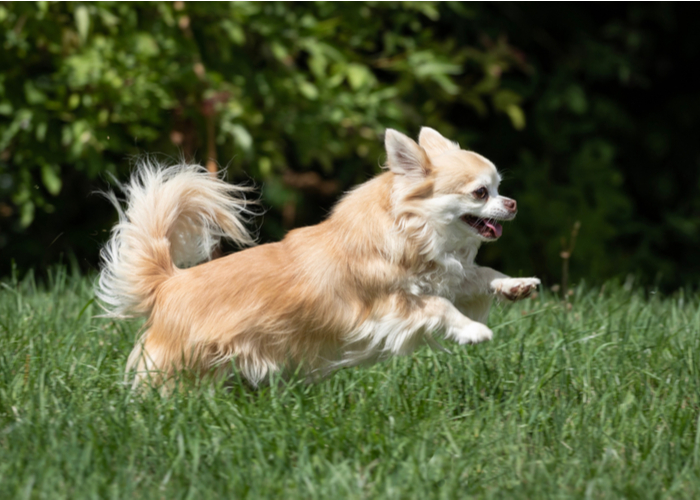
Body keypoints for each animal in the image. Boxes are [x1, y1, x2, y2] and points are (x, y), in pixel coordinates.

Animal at [97, 128, 536, 386]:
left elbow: (479, 274)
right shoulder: (389, 307)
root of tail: (169, 282)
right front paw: (474, 331)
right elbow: (439, 307)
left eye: (499, 188)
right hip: (180, 363)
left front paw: (517, 285)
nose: (513, 203)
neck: (410, 233)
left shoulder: (446, 276)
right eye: (481, 192)